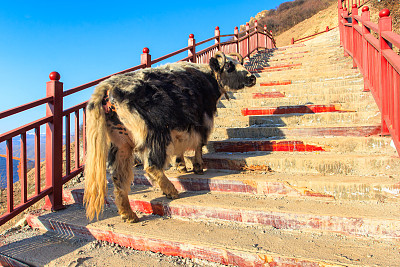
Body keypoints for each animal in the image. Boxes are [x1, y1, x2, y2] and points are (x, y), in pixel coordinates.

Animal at [85, 51, 256, 223]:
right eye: (229, 66)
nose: (252, 78)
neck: (207, 79)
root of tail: (107, 87)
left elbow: (180, 147)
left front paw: (181, 165)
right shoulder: (202, 121)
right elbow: (199, 145)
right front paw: (198, 166)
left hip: (121, 143)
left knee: (119, 178)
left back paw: (129, 214)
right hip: (154, 136)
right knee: (151, 166)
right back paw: (171, 191)